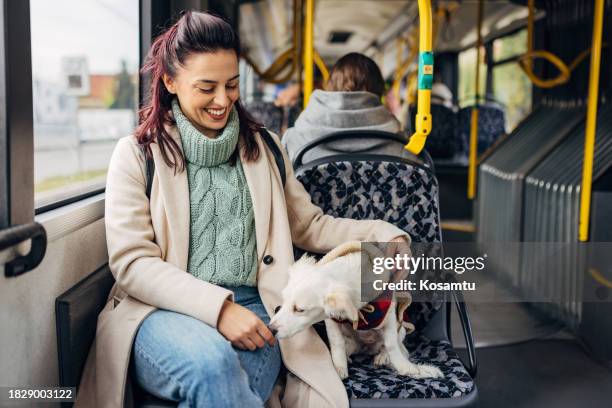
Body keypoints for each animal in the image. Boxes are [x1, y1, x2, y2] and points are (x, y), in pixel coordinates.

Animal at [270, 242, 442, 380]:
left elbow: (392, 344)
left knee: (399, 347)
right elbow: (336, 342)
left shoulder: (390, 317)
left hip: (402, 329)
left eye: (299, 309)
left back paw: (383, 356)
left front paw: (405, 367)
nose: (271, 329)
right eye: (283, 302)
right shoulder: (331, 319)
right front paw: (339, 366)